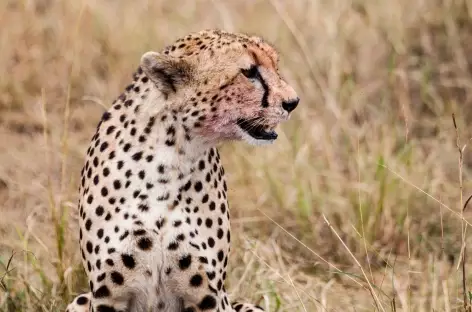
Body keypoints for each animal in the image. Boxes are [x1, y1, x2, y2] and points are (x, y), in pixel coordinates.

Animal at [66, 29, 298, 312]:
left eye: (275, 65)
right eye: (249, 72)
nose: (293, 102)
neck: (171, 156)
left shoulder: (207, 297)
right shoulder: (107, 295)